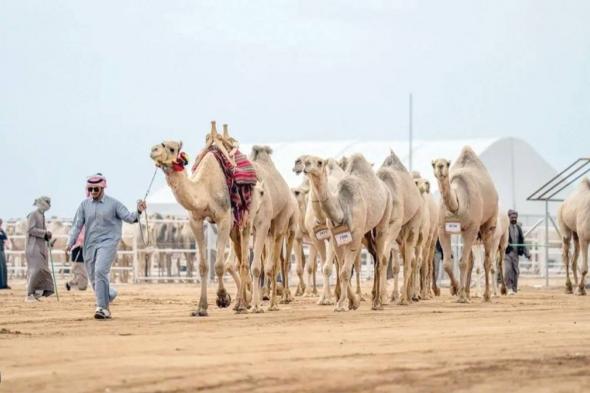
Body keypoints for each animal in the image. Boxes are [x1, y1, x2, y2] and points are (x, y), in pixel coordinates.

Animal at [150, 121, 252, 314]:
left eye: (172, 148)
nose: (153, 149)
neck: (204, 190)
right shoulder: (195, 221)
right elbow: (203, 266)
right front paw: (201, 307)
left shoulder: (223, 218)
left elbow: (218, 265)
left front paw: (222, 298)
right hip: (234, 226)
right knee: (239, 256)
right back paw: (244, 301)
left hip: (247, 218)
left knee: (245, 258)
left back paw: (244, 303)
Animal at [302, 153, 396, 310]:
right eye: (306, 161)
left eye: (319, 162)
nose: (306, 166)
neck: (342, 208)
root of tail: (385, 188)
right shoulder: (335, 237)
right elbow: (341, 269)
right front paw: (352, 302)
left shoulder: (355, 236)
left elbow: (345, 271)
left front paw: (340, 304)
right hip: (367, 233)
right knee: (374, 256)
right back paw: (373, 298)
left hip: (384, 217)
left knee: (380, 259)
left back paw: (378, 302)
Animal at [434, 145, 500, 302]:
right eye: (433, 163)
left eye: (447, 163)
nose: (440, 166)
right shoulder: (442, 228)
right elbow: (448, 263)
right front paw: (456, 289)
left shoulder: (471, 228)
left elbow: (462, 262)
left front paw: (461, 296)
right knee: (470, 261)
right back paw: (468, 292)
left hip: (489, 224)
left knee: (487, 261)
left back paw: (487, 295)